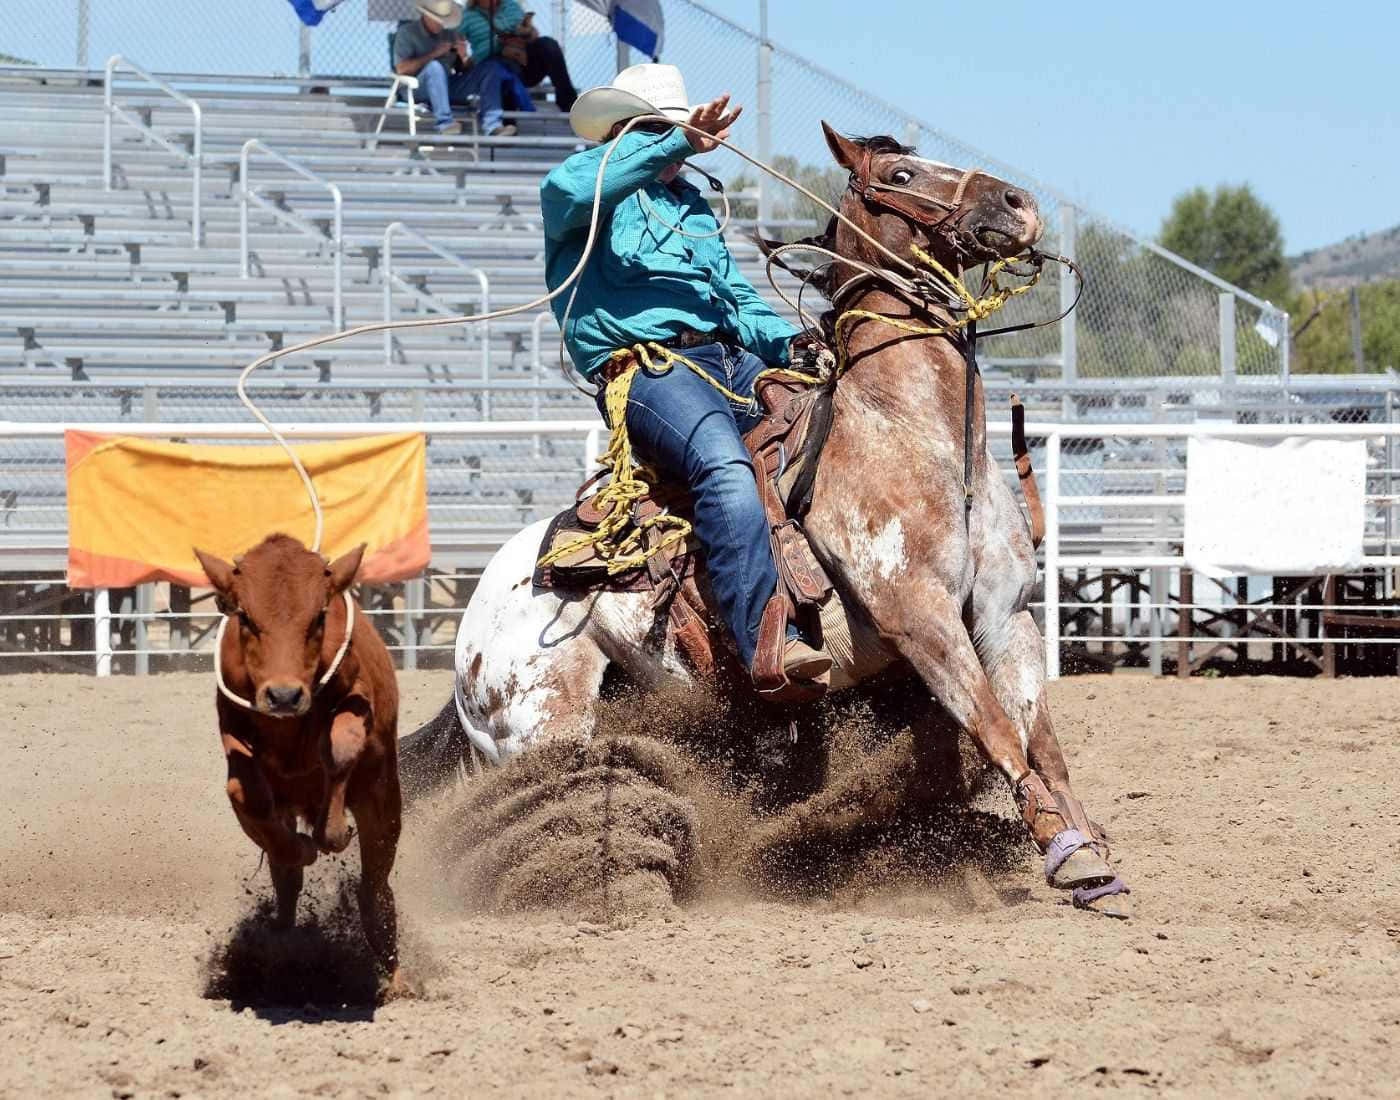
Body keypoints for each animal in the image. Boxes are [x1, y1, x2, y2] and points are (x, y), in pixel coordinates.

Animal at [194, 534, 411, 997]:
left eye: (318, 617)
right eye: (245, 617)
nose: (283, 695)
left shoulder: (356, 709)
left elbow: (341, 748)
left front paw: (333, 832)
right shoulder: (234, 732)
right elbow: (247, 795)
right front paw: (302, 848)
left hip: (385, 804)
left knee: (375, 890)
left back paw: (395, 974)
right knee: (288, 884)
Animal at [401, 122, 1129, 915]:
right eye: (901, 173)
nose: (1017, 203)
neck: (918, 434)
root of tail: (472, 629)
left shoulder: (1006, 616)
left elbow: (1041, 740)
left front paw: (1088, 852)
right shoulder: (920, 616)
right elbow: (995, 726)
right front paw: (1063, 850)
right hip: (545, 725)